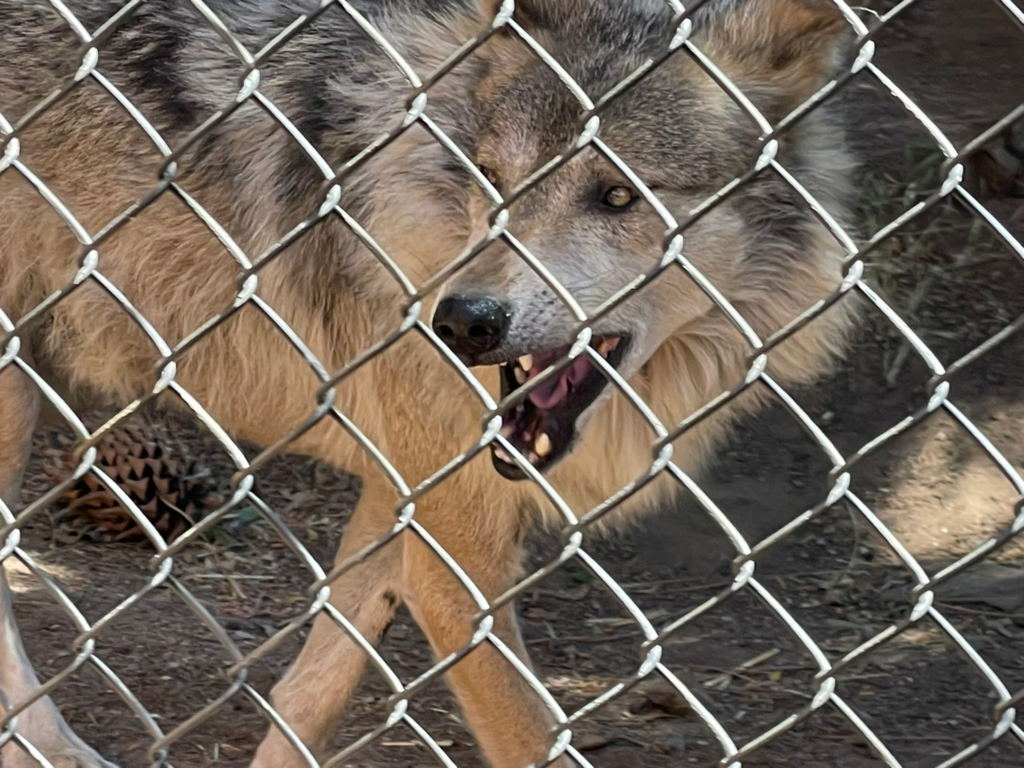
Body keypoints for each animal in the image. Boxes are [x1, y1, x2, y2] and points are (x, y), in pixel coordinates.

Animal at [0, 0, 856, 765]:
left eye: (618, 195)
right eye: (494, 178)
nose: (464, 321)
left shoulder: (405, 497)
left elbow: (309, 693)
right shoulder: (456, 556)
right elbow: (528, 740)